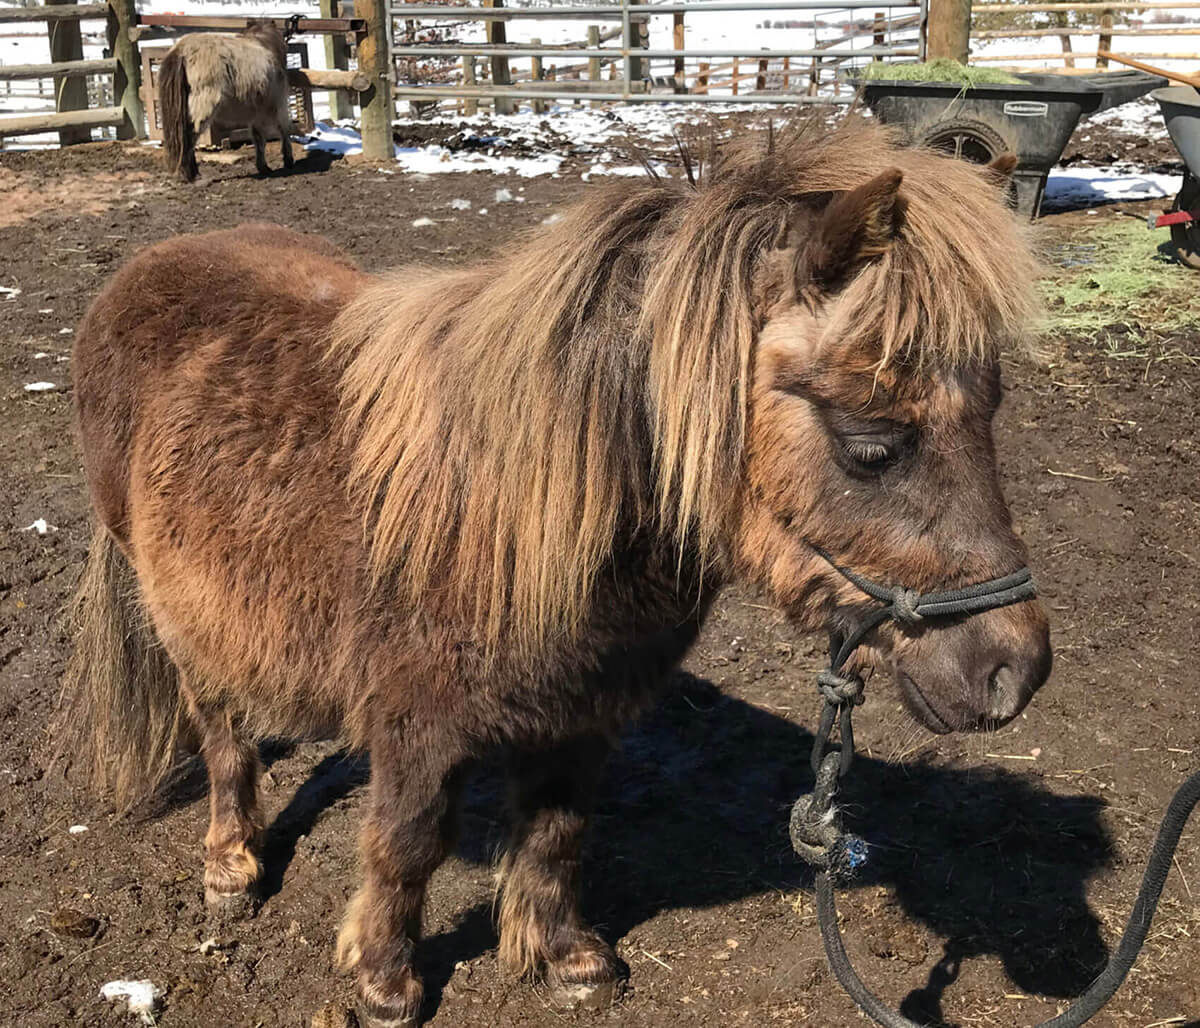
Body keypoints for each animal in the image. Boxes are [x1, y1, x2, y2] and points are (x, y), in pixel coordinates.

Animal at [63, 122, 1051, 1026]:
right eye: (872, 444)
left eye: (993, 410)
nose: (1014, 671)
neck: (512, 505)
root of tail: (145, 267)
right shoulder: (417, 726)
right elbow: (405, 845)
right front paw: (385, 981)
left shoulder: (583, 713)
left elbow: (559, 831)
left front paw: (564, 957)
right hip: (179, 613)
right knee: (222, 730)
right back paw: (231, 865)